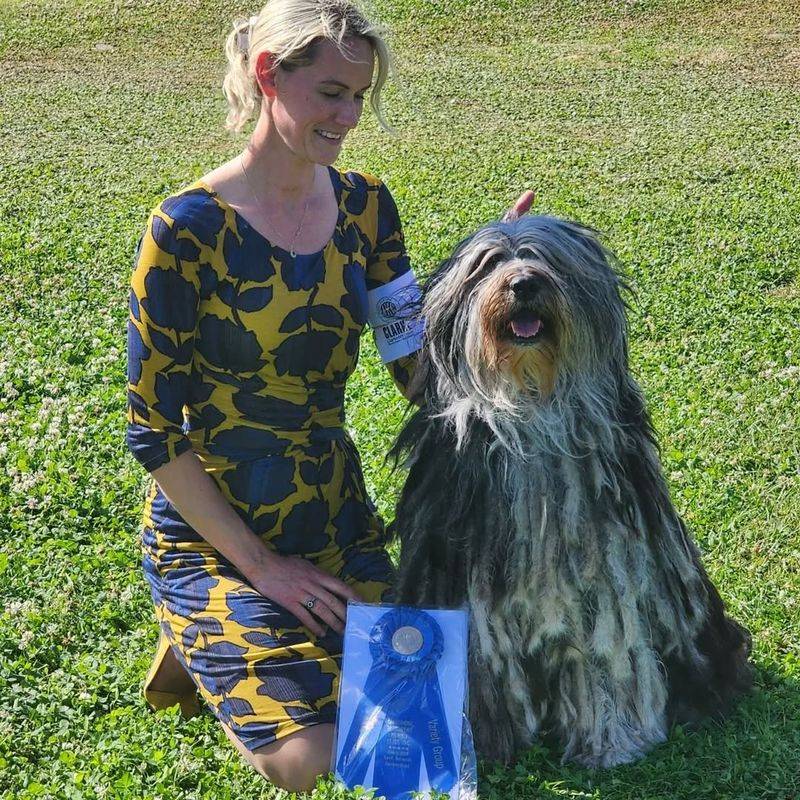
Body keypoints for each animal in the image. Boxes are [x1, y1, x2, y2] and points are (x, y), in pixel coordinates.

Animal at [390, 214, 752, 768]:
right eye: (487, 265)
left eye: (549, 260)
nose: (523, 284)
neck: (532, 409)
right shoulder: (467, 595)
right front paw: (482, 743)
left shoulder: (606, 588)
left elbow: (604, 662)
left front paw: (611, 744)